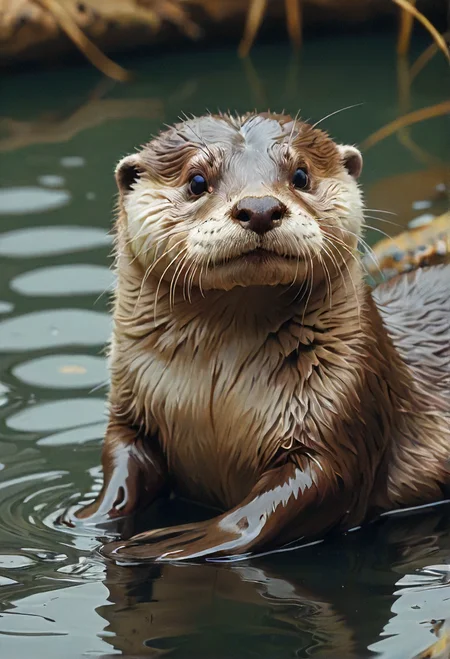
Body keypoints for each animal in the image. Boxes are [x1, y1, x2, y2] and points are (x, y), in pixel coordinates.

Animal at [69, 112, 450, 563]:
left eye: (301, 174)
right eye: (197, 180)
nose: (261, 208)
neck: (213, 402)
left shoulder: (346, 407)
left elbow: (314, 485)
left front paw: (184, 539)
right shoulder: (131, 409)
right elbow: (122, 461)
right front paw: (87, 516)